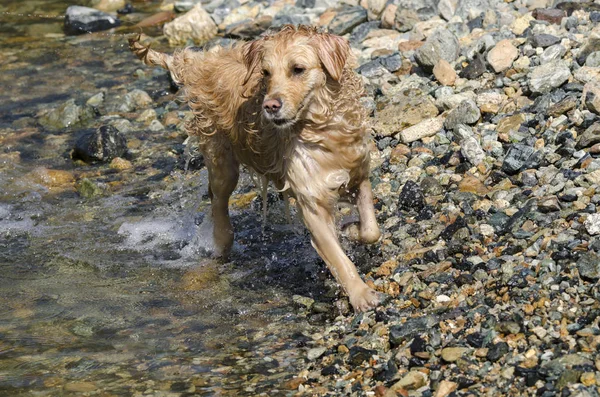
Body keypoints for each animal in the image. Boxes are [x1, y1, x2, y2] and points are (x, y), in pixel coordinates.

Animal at [131, 25, 382, 312]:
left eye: (298, 69)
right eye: (266, 73)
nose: (270, 106)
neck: (323, 128)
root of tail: (201, 62)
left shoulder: (358, 173)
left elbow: (372, 230)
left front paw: (351, 230)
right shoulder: (311, 201)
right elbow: (338, 257)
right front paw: (360, 294)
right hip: (222, 161)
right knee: (218, 201)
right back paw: (221, 242)